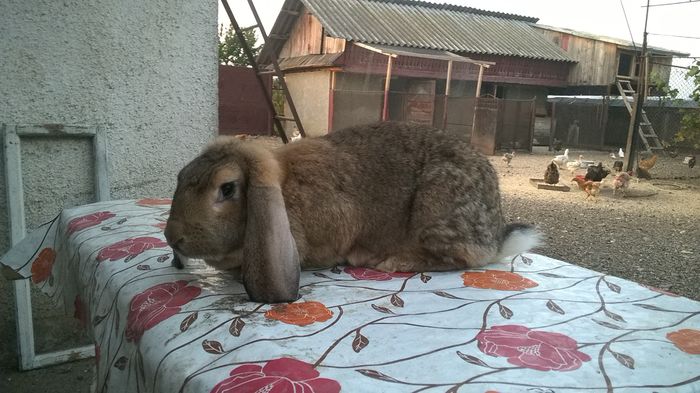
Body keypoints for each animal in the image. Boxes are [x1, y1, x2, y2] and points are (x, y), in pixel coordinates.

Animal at [164, 121, 540, 302]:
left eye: (227, 189)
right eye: (180, 176)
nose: (173, 236)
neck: (284, 189)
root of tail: (496, 235)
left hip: (438, 206)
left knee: (463, 258)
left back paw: (390, 261)